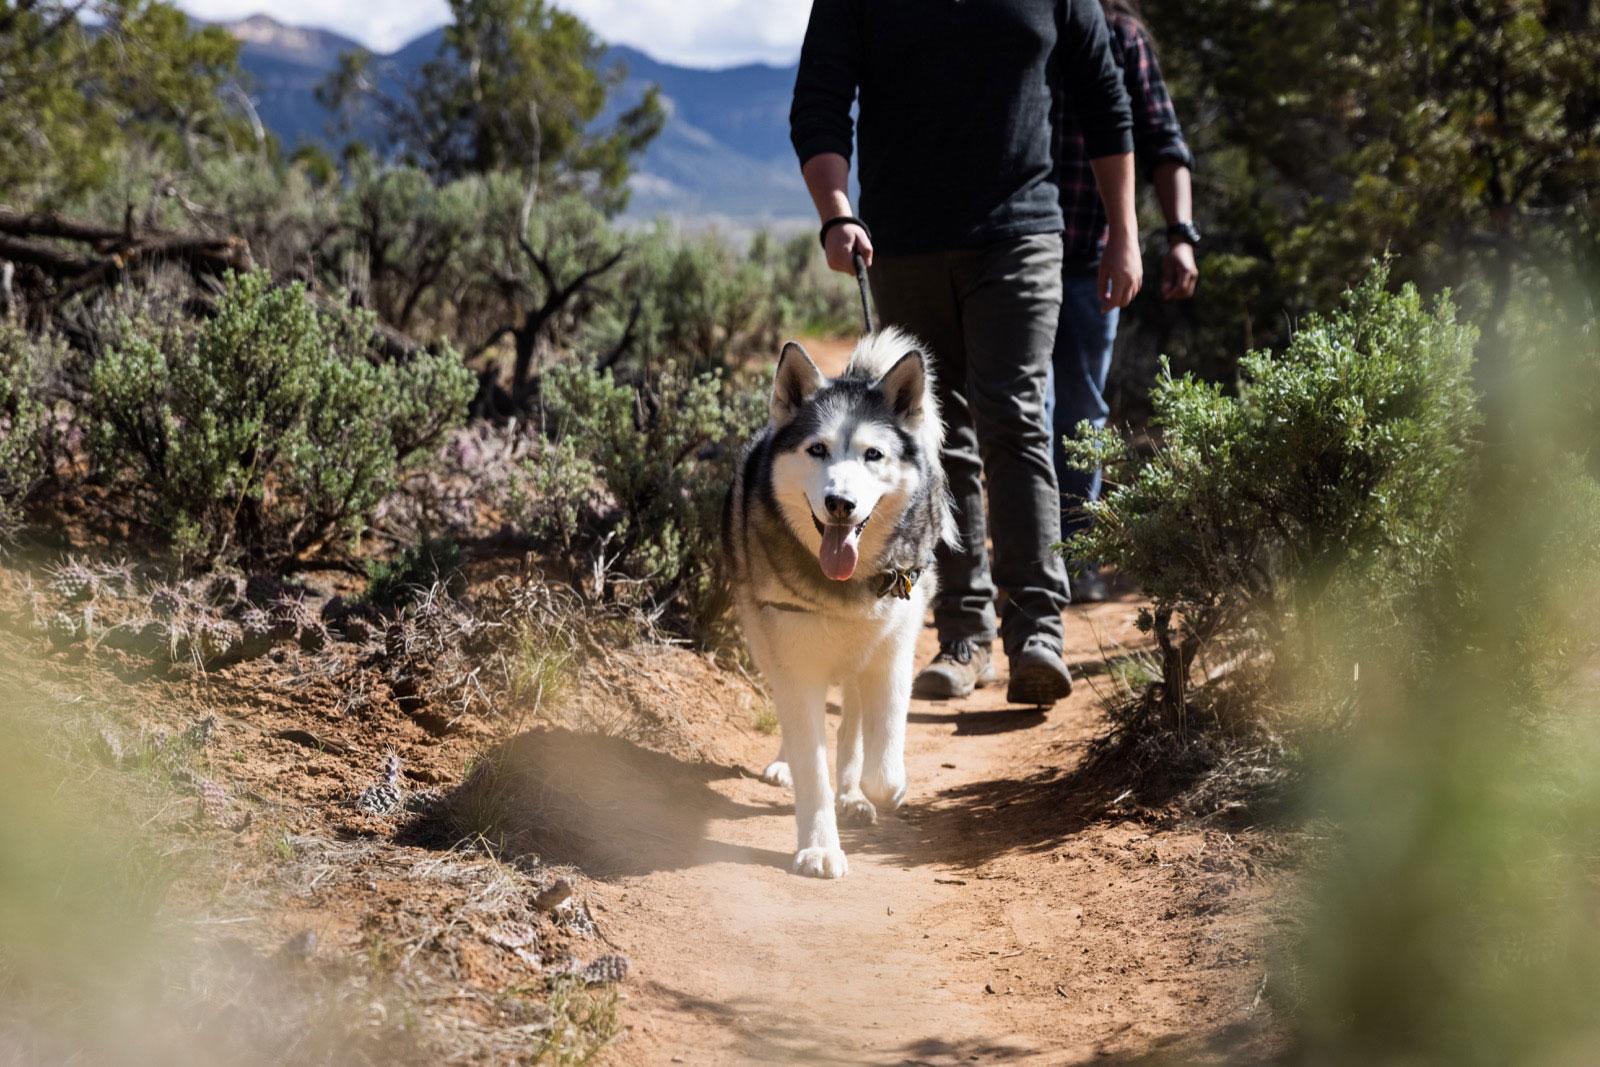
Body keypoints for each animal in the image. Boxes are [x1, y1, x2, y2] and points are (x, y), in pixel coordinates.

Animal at [723, 329, 947, 883]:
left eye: (873, 455)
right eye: (817, 450)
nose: (840, 504)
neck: (848, 584)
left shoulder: (893, 652)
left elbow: (881, 768)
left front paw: (872, 792)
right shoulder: (793, 660)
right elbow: (811, 767)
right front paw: (819, 847)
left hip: (860, 658)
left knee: (852, 724)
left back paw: (854, 796)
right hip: (769, 645)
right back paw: (791, 767)